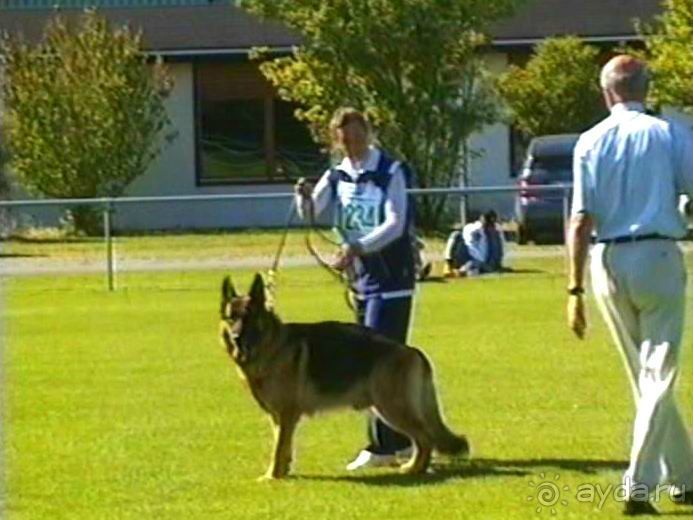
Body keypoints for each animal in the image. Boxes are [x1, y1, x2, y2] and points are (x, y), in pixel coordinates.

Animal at [219, 272, 468, 480]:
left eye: (249, 318)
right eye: (231, 318)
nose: (236, 338)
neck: (272, 345)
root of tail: (411, 350)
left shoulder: (287, 414)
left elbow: (279, 449)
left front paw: (272, 477)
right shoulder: (278, 418)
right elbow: (284, 446)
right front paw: (284, 472)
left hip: (392, 408)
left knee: (425, 438)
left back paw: (416, 469)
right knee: (422, 439)